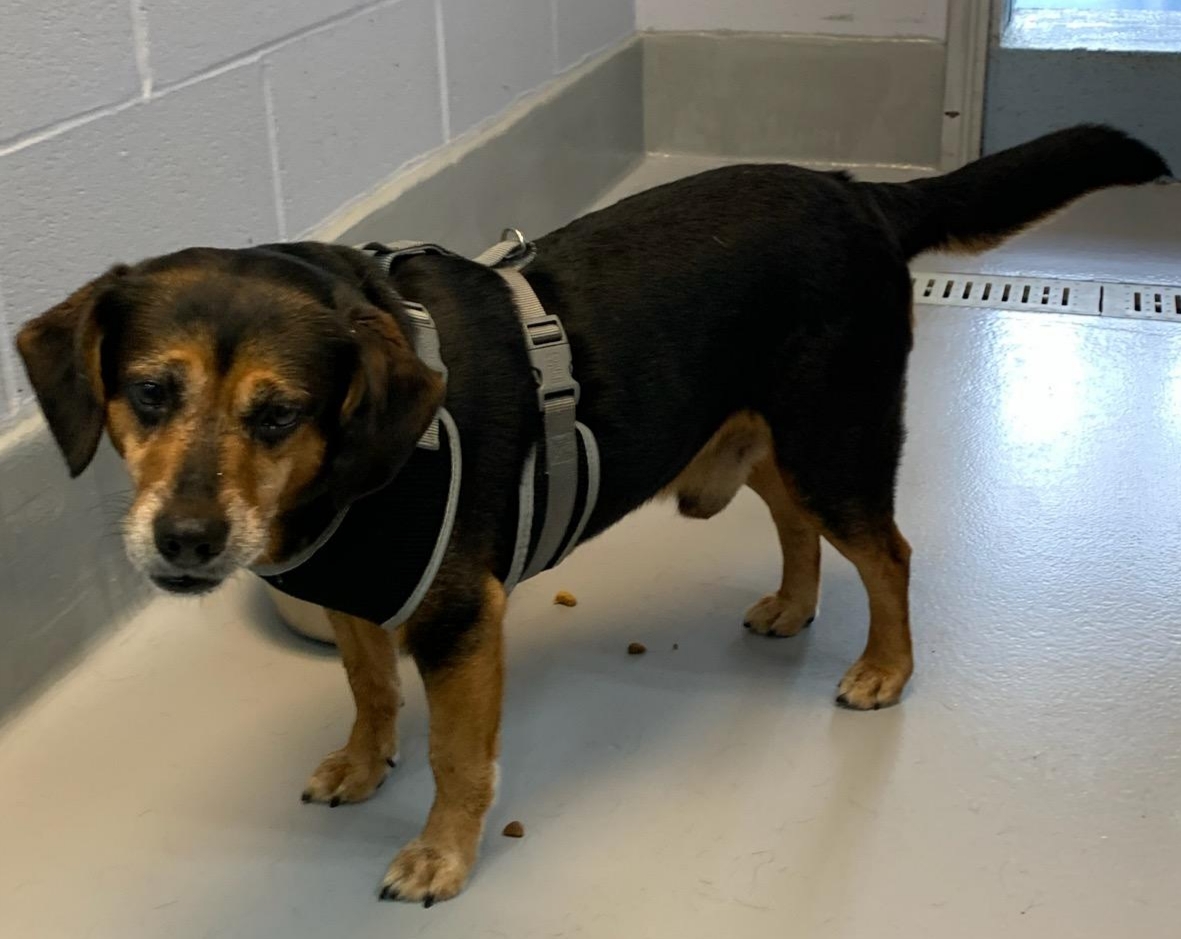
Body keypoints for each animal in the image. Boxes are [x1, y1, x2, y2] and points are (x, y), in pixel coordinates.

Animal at [13, 124, 1166, 902]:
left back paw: (885, 667)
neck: (345, 480)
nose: (186, 542)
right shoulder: (359, 590)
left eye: (278, 412)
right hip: (752, 437)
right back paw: (791, 607)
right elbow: (370, 689)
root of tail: (861, 197)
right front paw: (362, 760)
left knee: (888, 553)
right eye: (148, 393)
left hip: (832, 439)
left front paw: (441, 853)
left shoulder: (457, 618)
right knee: (796, 527)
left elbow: (456, 756)